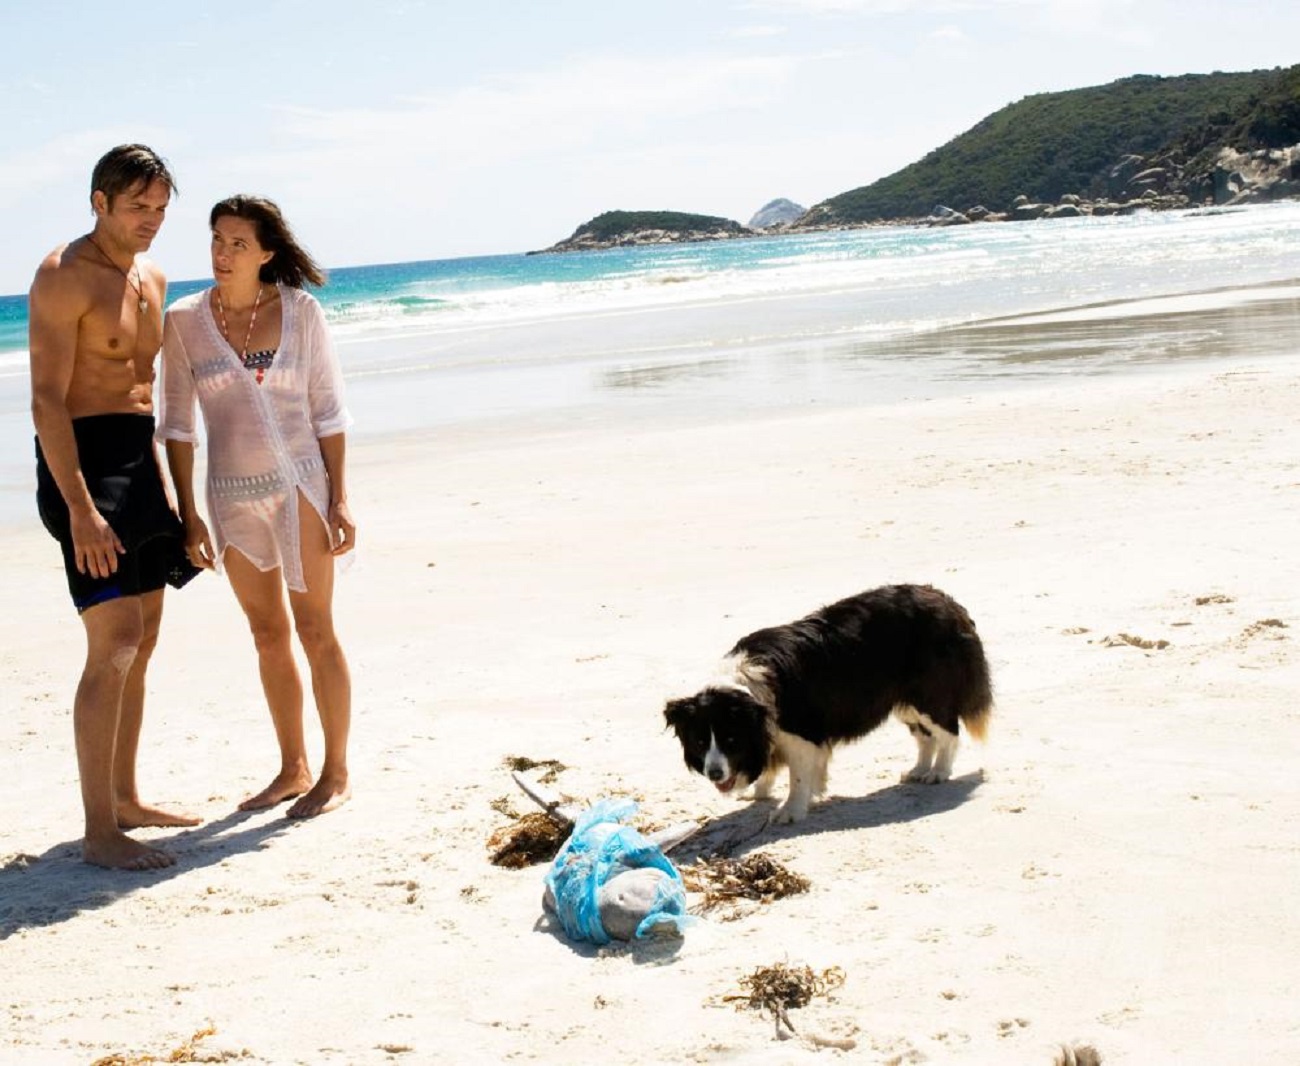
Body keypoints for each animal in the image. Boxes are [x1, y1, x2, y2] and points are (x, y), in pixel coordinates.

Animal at [665, 582, 987, 826]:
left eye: (732, 740)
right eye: (700, 742)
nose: (714, 774)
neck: (747, 693)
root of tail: (949, 602)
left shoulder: (801, 735)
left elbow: (797, 776)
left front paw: (789, 811)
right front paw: (761, 791)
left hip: (928, 694)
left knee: (949, 730)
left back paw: (938, 772)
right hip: (905, 701)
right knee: (925, 735)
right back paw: (919, 770)